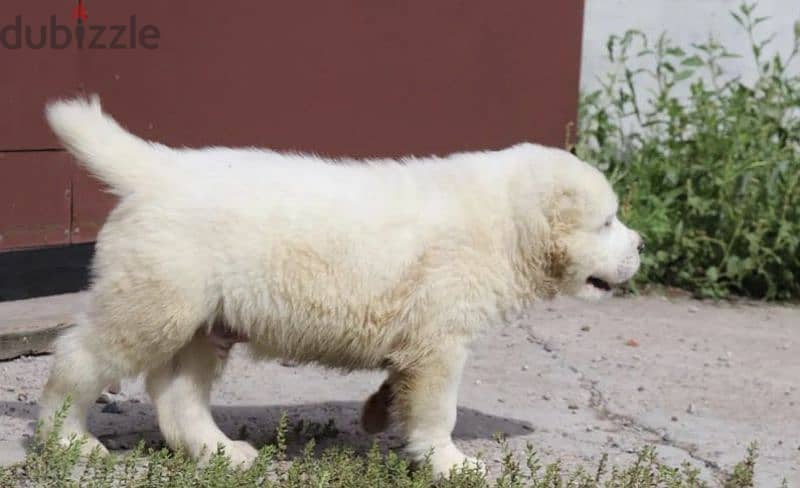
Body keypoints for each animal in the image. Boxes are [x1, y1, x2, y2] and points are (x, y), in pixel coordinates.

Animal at [40, 95, 644, 476]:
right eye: (607, 222)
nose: (640, 246)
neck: (505, 224)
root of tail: (159, 170)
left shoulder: (420, 340)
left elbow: (403, 385)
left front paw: (380, 414)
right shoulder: (441, 338)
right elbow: (439, 407)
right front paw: (449, 463)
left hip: (203, 319)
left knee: (177, 392)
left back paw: (219, 452)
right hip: (152, 301)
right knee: (80, 359)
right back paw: (67, 438)